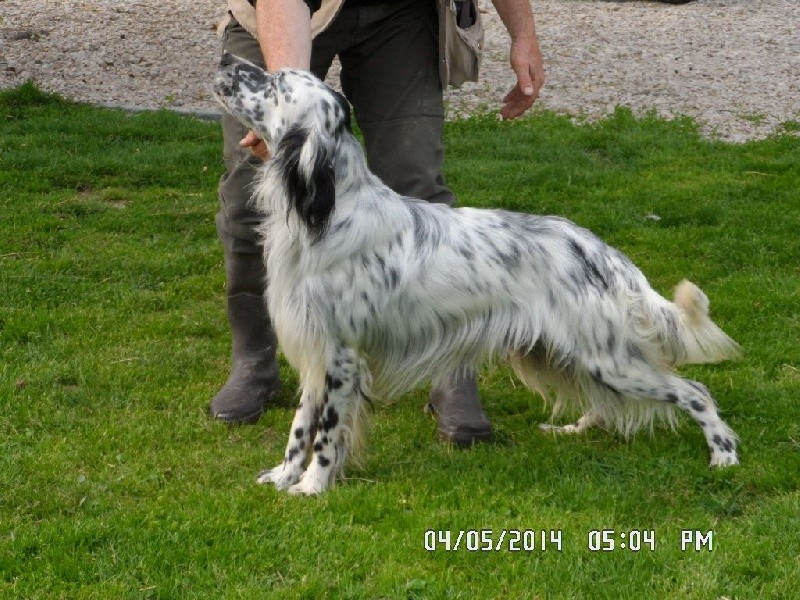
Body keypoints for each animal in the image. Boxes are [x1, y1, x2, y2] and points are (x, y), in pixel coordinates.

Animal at [214, 53, 741, 495]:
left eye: (275, 82)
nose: (225, 58)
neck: (325, 214)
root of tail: (605, 254)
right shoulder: (316, 349)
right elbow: (300, 426)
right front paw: (283, 476)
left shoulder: (342, 354)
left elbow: (325, 434)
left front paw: (312, 488)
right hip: (569, 355)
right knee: (607, 401)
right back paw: (571, 429)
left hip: (607, 358)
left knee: (694, 391)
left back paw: (724, 456)